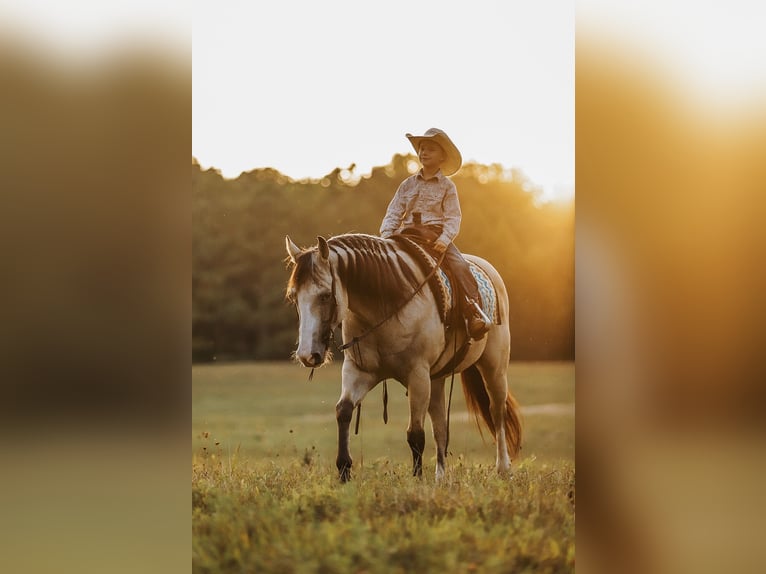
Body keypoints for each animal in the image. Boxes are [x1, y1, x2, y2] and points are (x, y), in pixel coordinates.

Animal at [284, 232, 524, 484]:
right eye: (293, 297)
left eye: (325, 296)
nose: (307, 355)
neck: (385, 306)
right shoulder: (359, 372)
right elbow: (344, 411)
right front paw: (344, 471)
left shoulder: (417, 376)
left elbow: (415, 433)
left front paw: (417, 479)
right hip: (436, 380)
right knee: (441, 427)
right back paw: (440, 478)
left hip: (494, 369)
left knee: (497, 413)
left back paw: (503, 468)